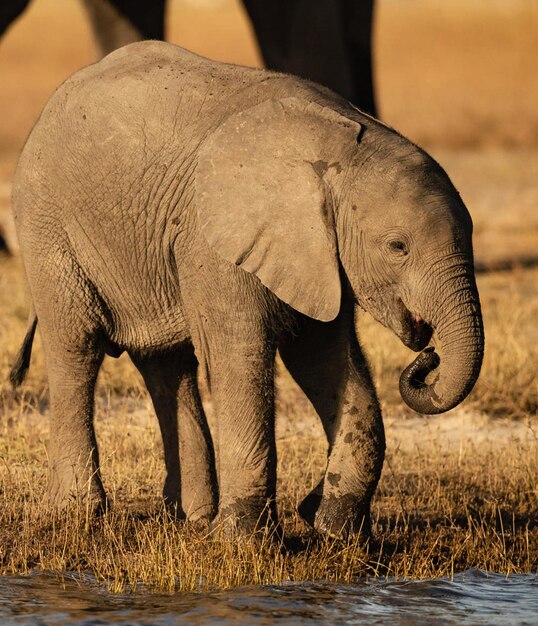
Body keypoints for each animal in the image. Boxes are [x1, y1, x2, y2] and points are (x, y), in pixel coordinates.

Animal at [11, 40, 482, 536]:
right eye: (398, 247)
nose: (428, 356)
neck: (344, 147)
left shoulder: (317, 254)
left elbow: (324, 359)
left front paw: (330, 525)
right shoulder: (213, 239)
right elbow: (240, 353)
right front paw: (244, 538)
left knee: (167, 364)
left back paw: (192, 517)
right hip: (47, 223)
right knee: (77, 345)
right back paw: (80, 512)